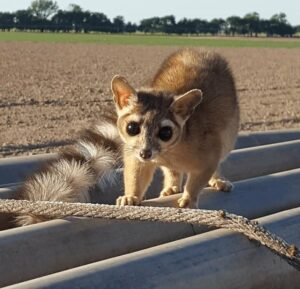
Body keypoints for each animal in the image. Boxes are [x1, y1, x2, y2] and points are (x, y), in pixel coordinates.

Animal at [13, 49, 239, 225]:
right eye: (132, 128)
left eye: (165, 132)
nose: (146, 152)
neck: (168, 151)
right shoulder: (135, 152)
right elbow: (136, 170)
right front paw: (132, 195)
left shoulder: (206, 145)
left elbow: (204, 170)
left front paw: (190, 195)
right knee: (170, 169)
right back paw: (172, 183)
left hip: (230, 127)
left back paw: (216, 179)